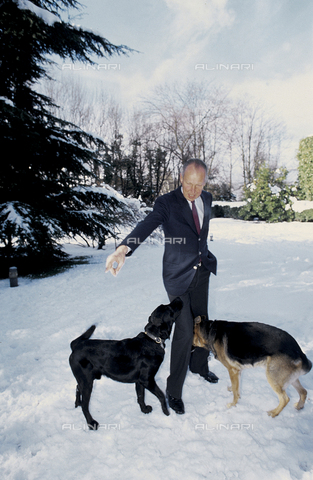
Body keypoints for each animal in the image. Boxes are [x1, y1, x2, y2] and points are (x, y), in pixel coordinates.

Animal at [68, 298, 180, 430]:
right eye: (169, 309)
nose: (178, 298)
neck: (153, 339)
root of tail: (75, 346)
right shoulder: (147, 380)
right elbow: (161, 395)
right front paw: (166, 412)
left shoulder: (139, 381)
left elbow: (140, 396)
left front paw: (144, 410)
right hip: (87, 383)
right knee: (85, 406)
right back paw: (92, 423)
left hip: (84, 379)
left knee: (77, 388)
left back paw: (77, 404)